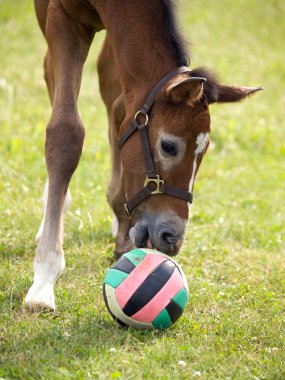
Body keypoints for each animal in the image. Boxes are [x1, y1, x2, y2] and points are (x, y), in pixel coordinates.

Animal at [25, 0, 260, 310]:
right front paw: (43, 280)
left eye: (205, 150)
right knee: (51, 73)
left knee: (110, 86)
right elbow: (65, 133)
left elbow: (120, 106)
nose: (172, 236)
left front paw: (123, 225)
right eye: (169, 146)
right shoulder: (61, 17)